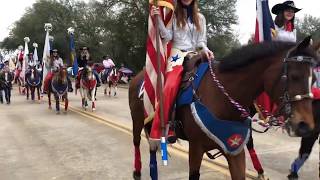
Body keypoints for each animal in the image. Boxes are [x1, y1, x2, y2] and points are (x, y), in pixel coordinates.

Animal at [129, 37, 320, 180]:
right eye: (294, 76)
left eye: (314, 79)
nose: (305, 126)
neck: (222, 95)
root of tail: (139, 76)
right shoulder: (196, 148)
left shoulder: (234, 149)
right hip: (138, 120)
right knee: (137, 142)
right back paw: (137, 171)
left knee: (152, 146)